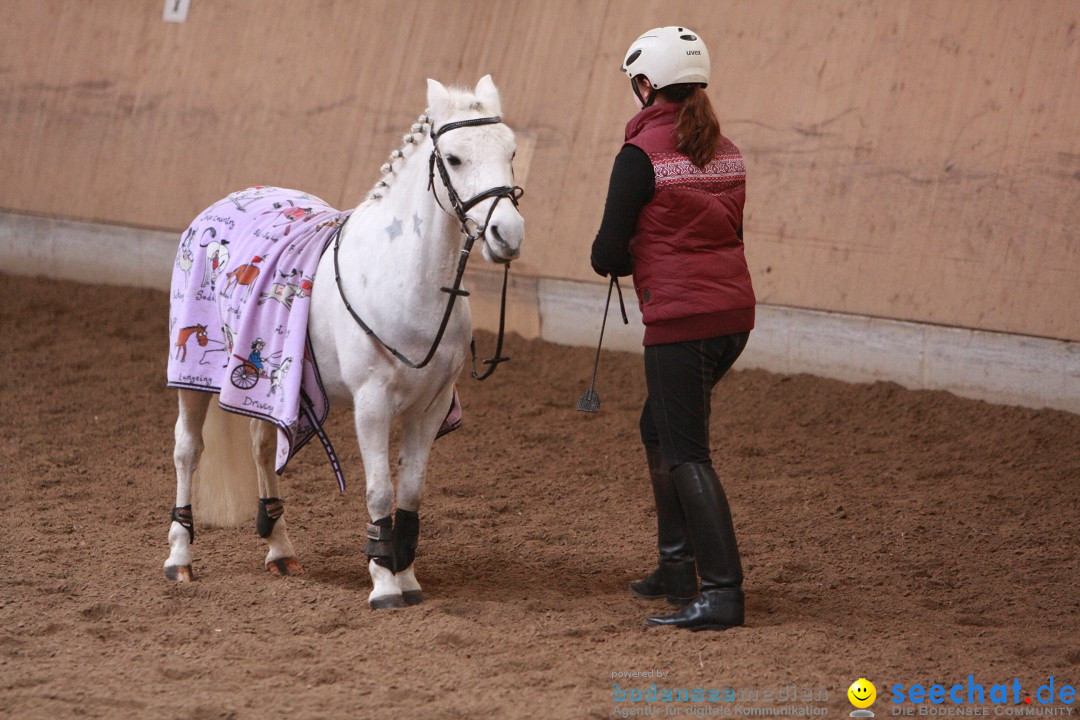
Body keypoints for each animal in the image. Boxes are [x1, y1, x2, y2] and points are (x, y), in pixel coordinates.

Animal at [160, 77, 527, 608]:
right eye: (455, 158)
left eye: (511, 151)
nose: (508, 234)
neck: (405, 279)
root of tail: (225, 203)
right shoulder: (372, 403)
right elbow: (379, 491)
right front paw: (383, 584)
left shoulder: (431, 406)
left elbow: (410, 491)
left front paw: (407, 576)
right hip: (193, 380)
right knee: (187, 451)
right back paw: (179, 558)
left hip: (271, 392)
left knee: (261, 446)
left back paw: (280, 550)